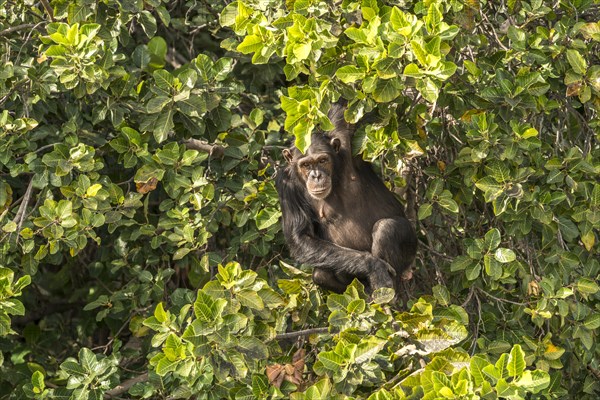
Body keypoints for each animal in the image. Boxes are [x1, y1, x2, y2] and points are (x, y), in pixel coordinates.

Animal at [276, 104, 418, 292]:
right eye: (305, 165)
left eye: (322, 161)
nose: (316, 176)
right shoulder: (286, 186)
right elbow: (301, 237)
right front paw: (374, 266)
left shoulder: (344, 138)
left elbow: (343, 109)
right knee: (321, 274)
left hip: (411, 252)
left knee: (387, 228)